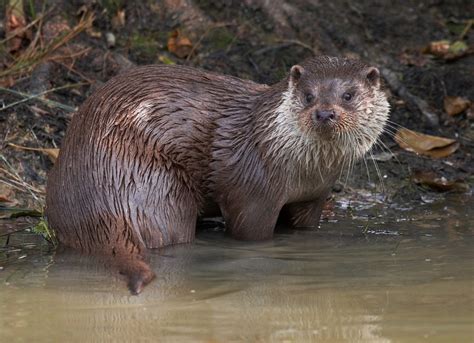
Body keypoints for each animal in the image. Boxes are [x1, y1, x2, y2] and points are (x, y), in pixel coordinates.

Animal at [46, 57, 390, 296]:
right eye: (308, 95)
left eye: (348, 95)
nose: (324, 112)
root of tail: (97, 206)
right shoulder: (253, 190)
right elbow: (250, 232)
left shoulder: (315, 197)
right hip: (155, 186)